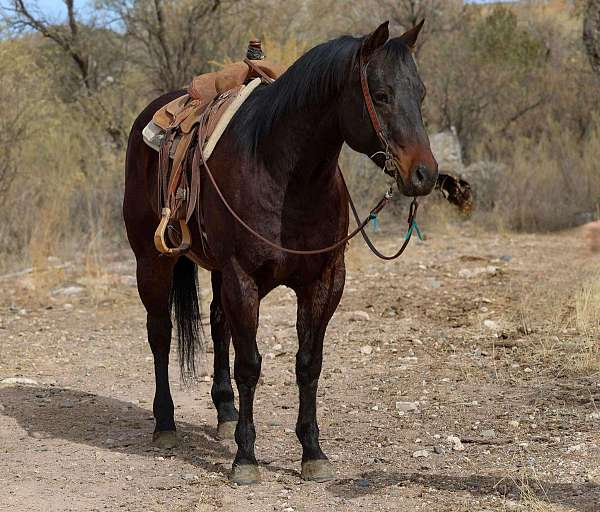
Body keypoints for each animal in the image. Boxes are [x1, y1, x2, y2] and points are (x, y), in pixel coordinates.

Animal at [124, 20, 438, 484]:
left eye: (420, 93)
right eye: (381, 94)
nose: (424, 174)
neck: (284, 171)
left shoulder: (324, 282)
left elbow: (308, 363)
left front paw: (313, 452)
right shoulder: (243, 280)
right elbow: (250, 365)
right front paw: (245, 458)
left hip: (215, 270)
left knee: (217, 323)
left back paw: (224, 413)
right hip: (153, 261)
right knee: (160, 333)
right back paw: (165, 424)